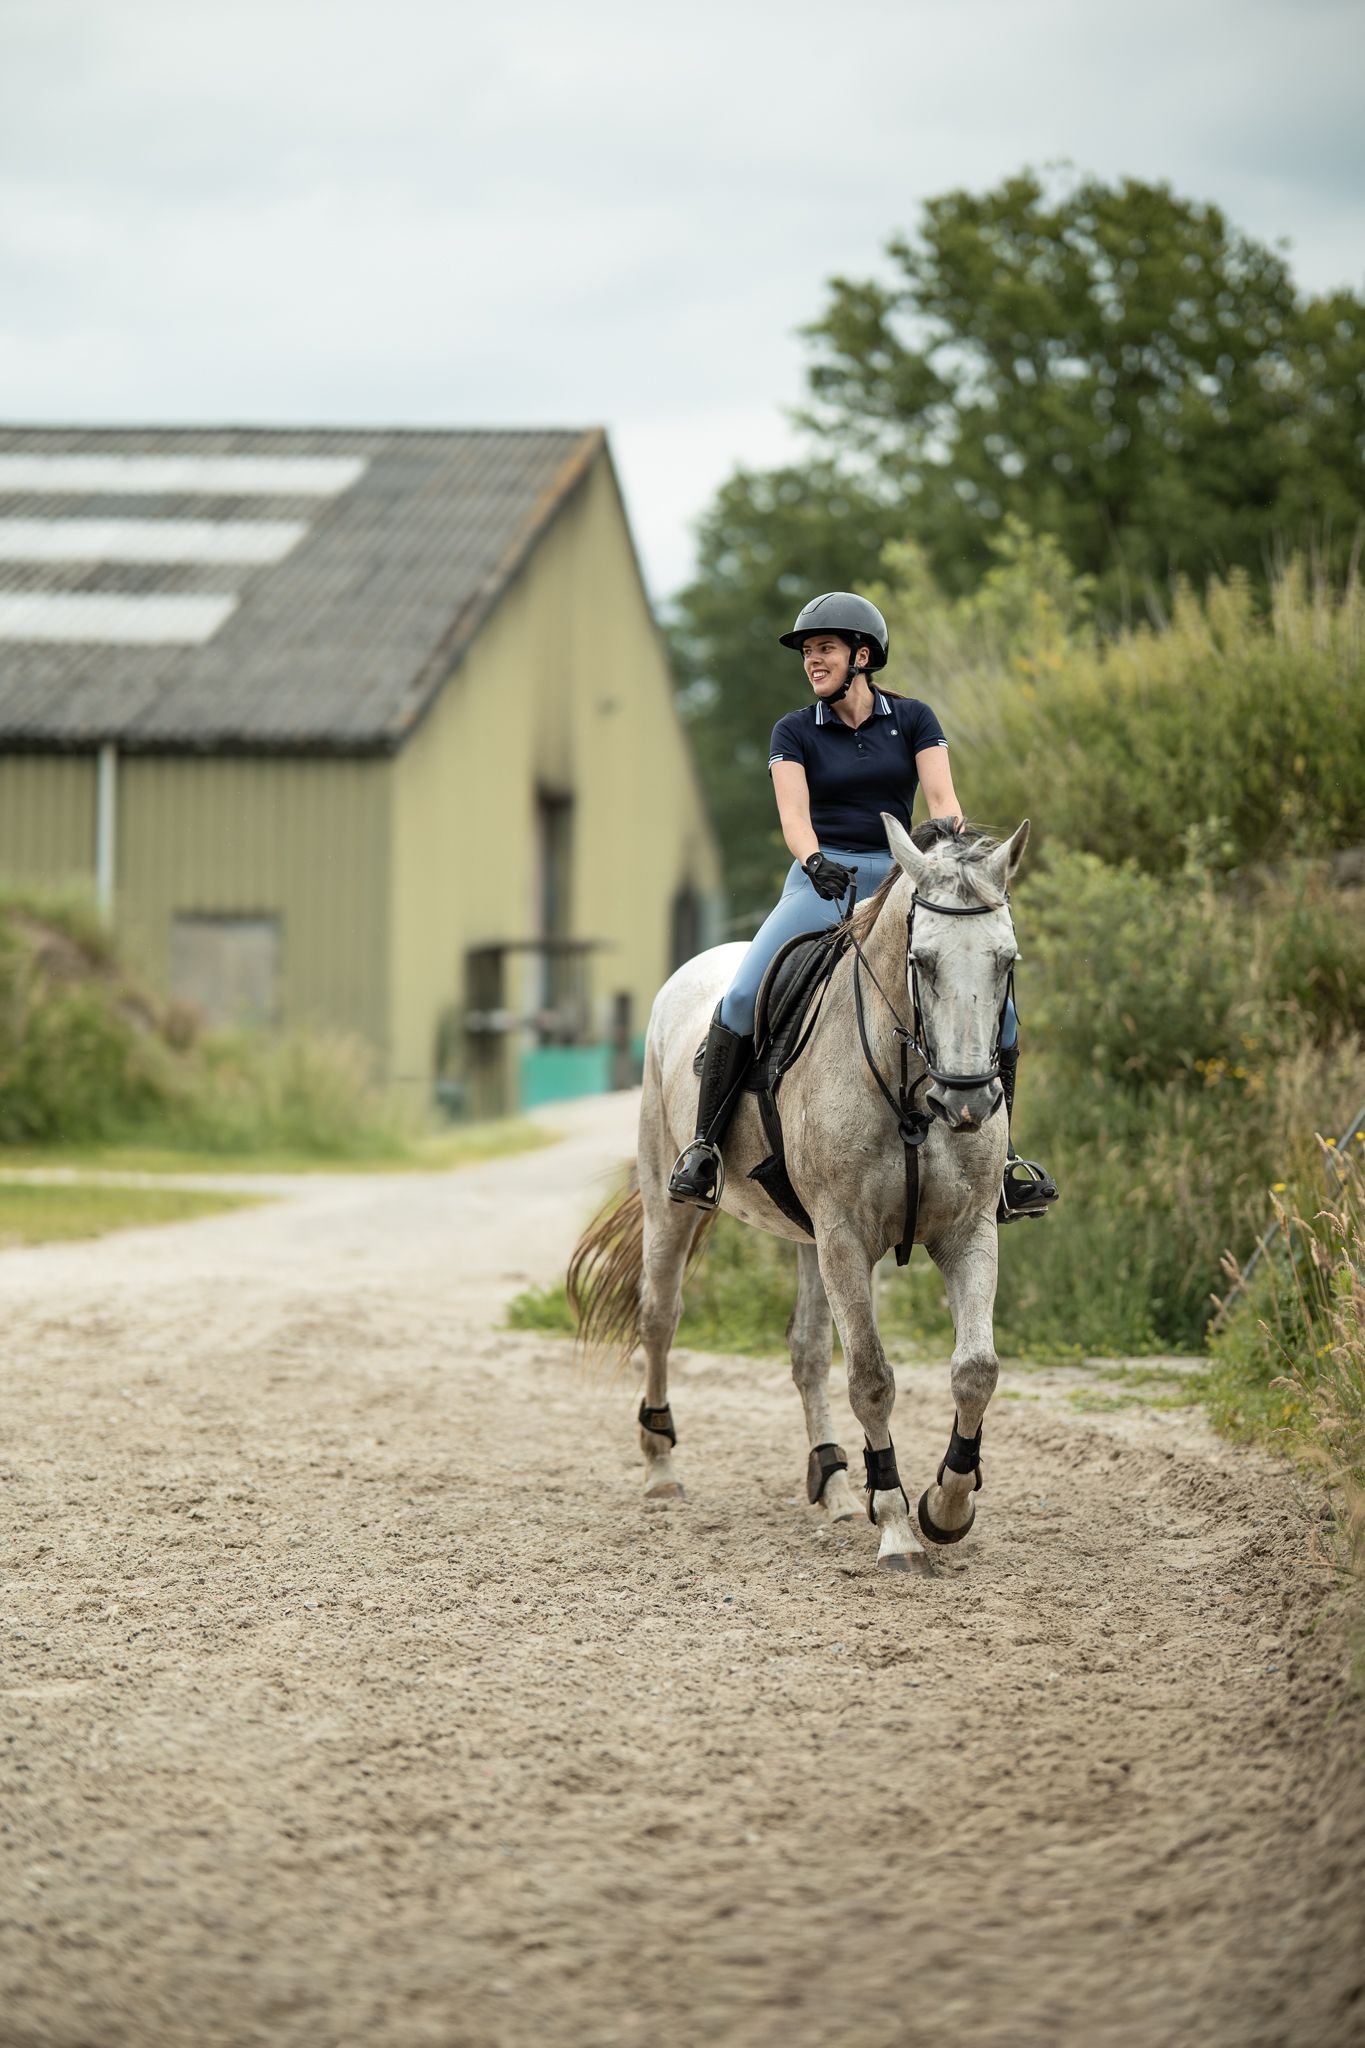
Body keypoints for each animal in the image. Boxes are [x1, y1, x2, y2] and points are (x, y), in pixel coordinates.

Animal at [567, 812, 1030, 1571]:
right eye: (922, 962)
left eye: (1006, 961)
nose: (966, 1102)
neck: (911, 1092)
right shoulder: (845, 1236)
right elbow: (871, 1378)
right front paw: (897, 1527)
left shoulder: (966, 1231)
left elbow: (975, 1370)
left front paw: (946, 1506)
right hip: (671, 1201)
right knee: (660, 1316)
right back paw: (662, 1468)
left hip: (808, 1237)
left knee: (807, 1350)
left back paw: (836, 1484)